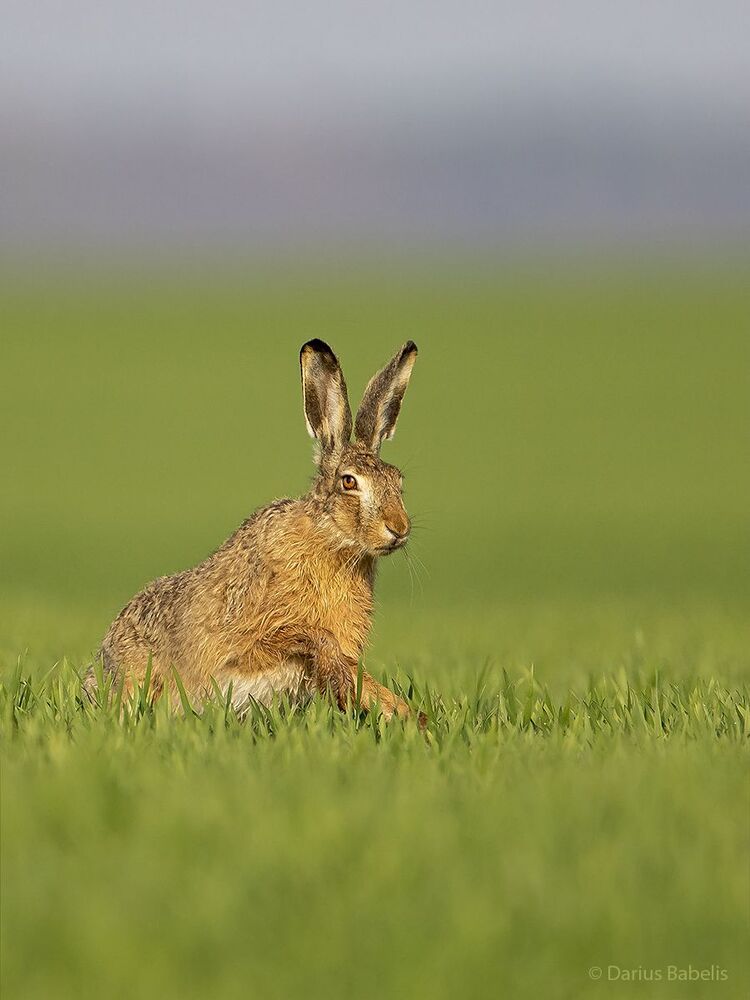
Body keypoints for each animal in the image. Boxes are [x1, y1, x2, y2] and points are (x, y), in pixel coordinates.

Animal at [87, 339, 421, 724]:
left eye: (398, 481)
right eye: (349, 482)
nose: (399, 528)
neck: (328, 540)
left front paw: (403, 714)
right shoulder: (245, 639)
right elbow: (308, 635)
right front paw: (348, 680)